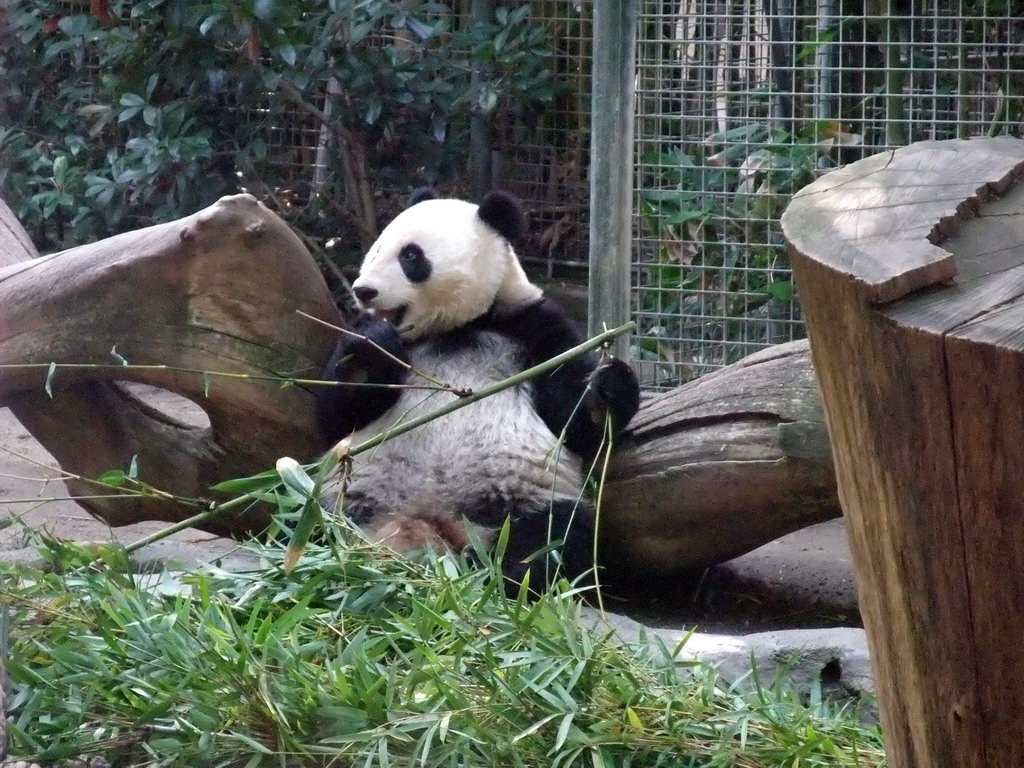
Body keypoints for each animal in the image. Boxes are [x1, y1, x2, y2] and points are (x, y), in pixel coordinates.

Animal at [319, 189, 638, 593]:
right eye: (376, 249)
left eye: (410, 256)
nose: (364, 290)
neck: (456, 328)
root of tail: (431, 524)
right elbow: (338, 416)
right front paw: (372, 346)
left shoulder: (535, 330)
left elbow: (577, 423)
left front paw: (605, 388)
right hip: (348, 492)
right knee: (306, 516)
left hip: (521, 498)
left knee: (554, 536)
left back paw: (498, 574)